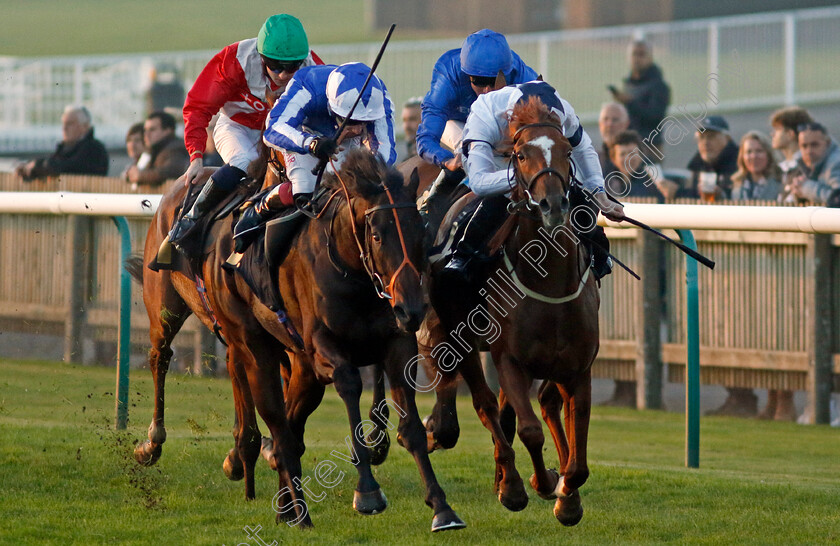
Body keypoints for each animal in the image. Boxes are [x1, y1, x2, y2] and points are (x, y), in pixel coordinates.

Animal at [420, 96, 596, 524]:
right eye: (520, 154)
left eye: (567, 152)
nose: (553, 204)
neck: (548, 284)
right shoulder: (510, 361)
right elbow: (527, 429)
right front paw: (534, 485)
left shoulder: (577, 367)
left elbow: (578, 455)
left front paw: (568, 498)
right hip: (462, 338)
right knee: (486, 406)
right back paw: (509, 481)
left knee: (521, 410)